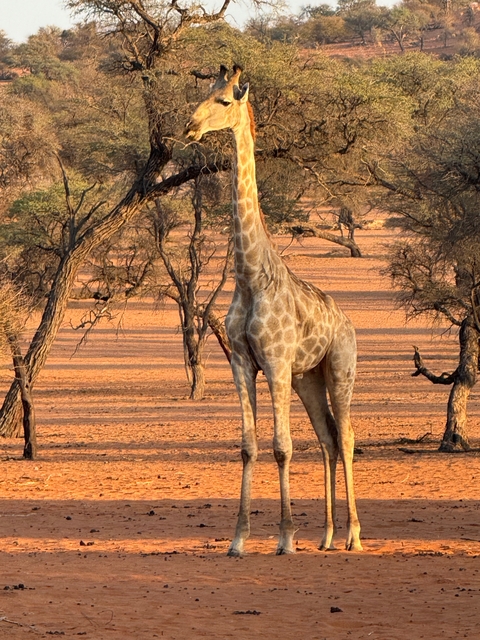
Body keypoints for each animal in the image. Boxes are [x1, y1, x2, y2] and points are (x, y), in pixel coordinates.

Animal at [185, 65, 362, 556]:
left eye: (225, 100)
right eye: (204, 91)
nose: (189, 128)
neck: (250, 275)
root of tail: (348, 323)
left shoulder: (277, 361)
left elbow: (283, 446)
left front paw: (285, 537)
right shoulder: (243, 362)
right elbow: (249, 446)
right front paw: (238, 540)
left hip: (340, 369)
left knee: (347, 436)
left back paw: (353, 536)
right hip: (308, 378)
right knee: (327, 439)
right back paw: (326, 536)